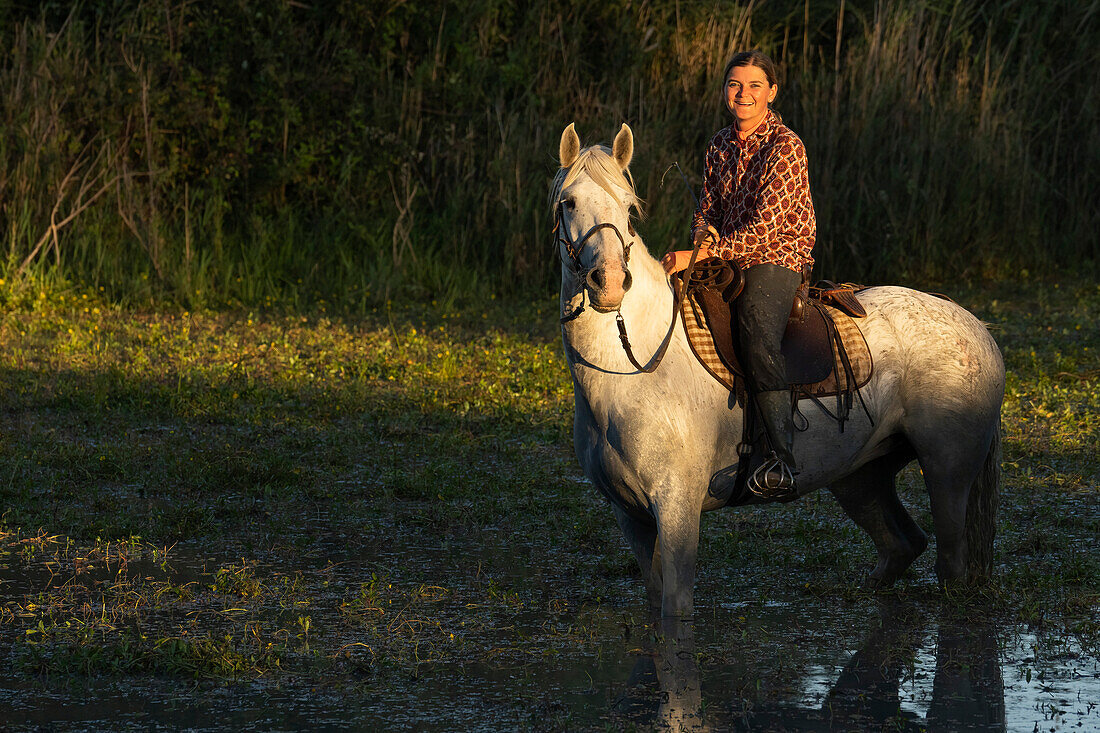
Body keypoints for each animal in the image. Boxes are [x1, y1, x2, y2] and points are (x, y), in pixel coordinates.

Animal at [554, 122, 1007, 611]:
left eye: (629, 207)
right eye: (569, 202)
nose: (610, 282)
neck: (636, 370)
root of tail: (974, 325)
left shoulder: (677, 510)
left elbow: (677, 610)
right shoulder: (632, 518)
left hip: (947, 472)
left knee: (949, 566)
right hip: (860, 477)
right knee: (903, 544)